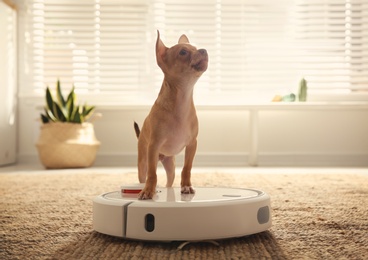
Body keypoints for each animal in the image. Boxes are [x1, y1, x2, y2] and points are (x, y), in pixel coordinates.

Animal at [134, 31, 208, 200]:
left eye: (195, 47)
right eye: (183, 52)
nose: (204, 50)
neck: (181, 102)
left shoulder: (192, 144)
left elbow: (187, 167)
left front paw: (186, 186)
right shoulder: (153, 147)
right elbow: (152, 174)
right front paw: (148, 190)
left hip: (171, 167)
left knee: (169, 182)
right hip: (143, 163)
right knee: (145, 175)